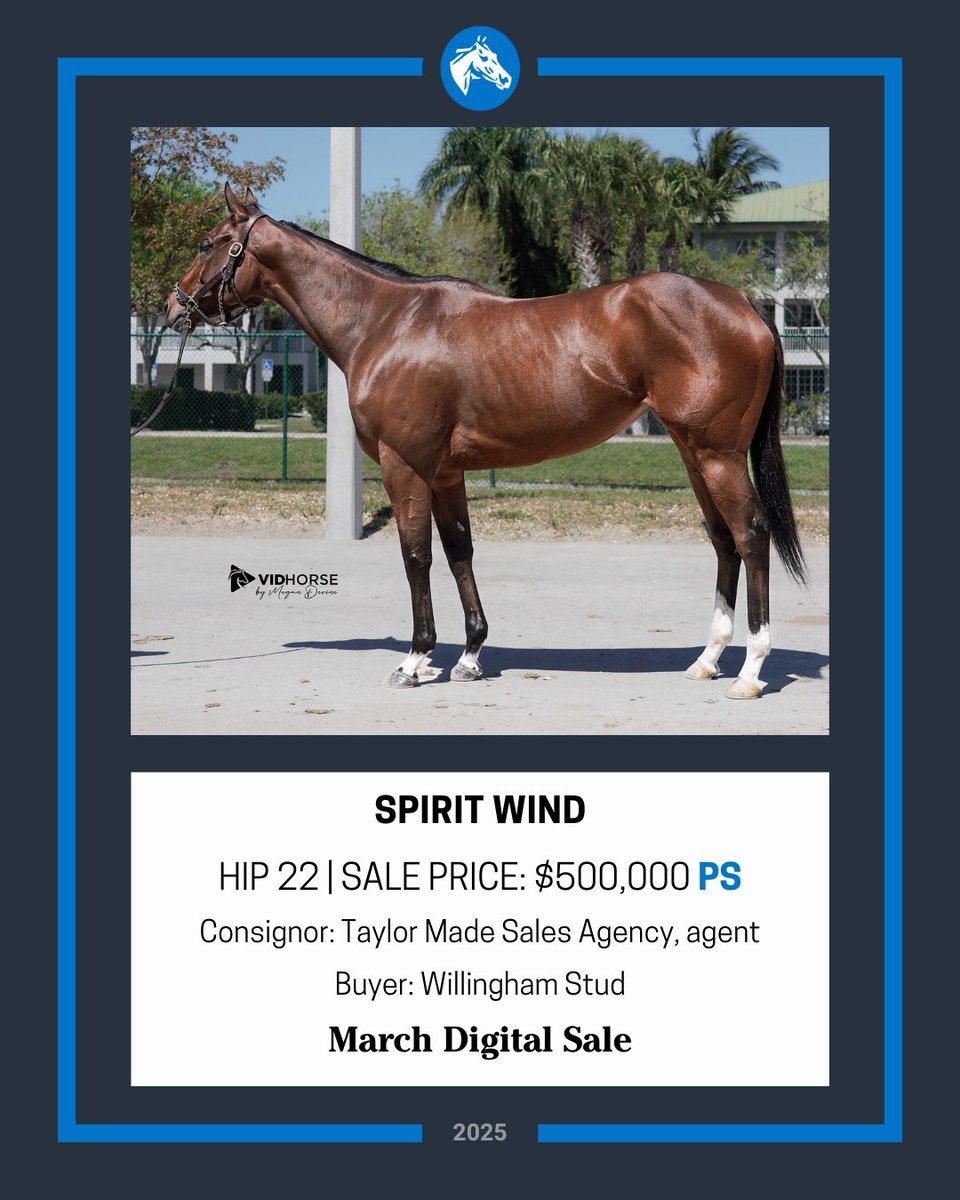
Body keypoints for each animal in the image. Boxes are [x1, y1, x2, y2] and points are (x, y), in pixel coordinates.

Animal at [164, 184, 806, 700]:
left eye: (208, 242)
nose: (174, 305)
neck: (386, 322)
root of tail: (744, 303)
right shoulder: (446, 472)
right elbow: (459, 553)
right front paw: (470, 656)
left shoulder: (405, 466)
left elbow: (416, 556)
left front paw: (415, 660)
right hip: (693, 454)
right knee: (723, 540)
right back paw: (707, 660)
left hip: (718, 456)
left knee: (751, 535)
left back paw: (751, 671)